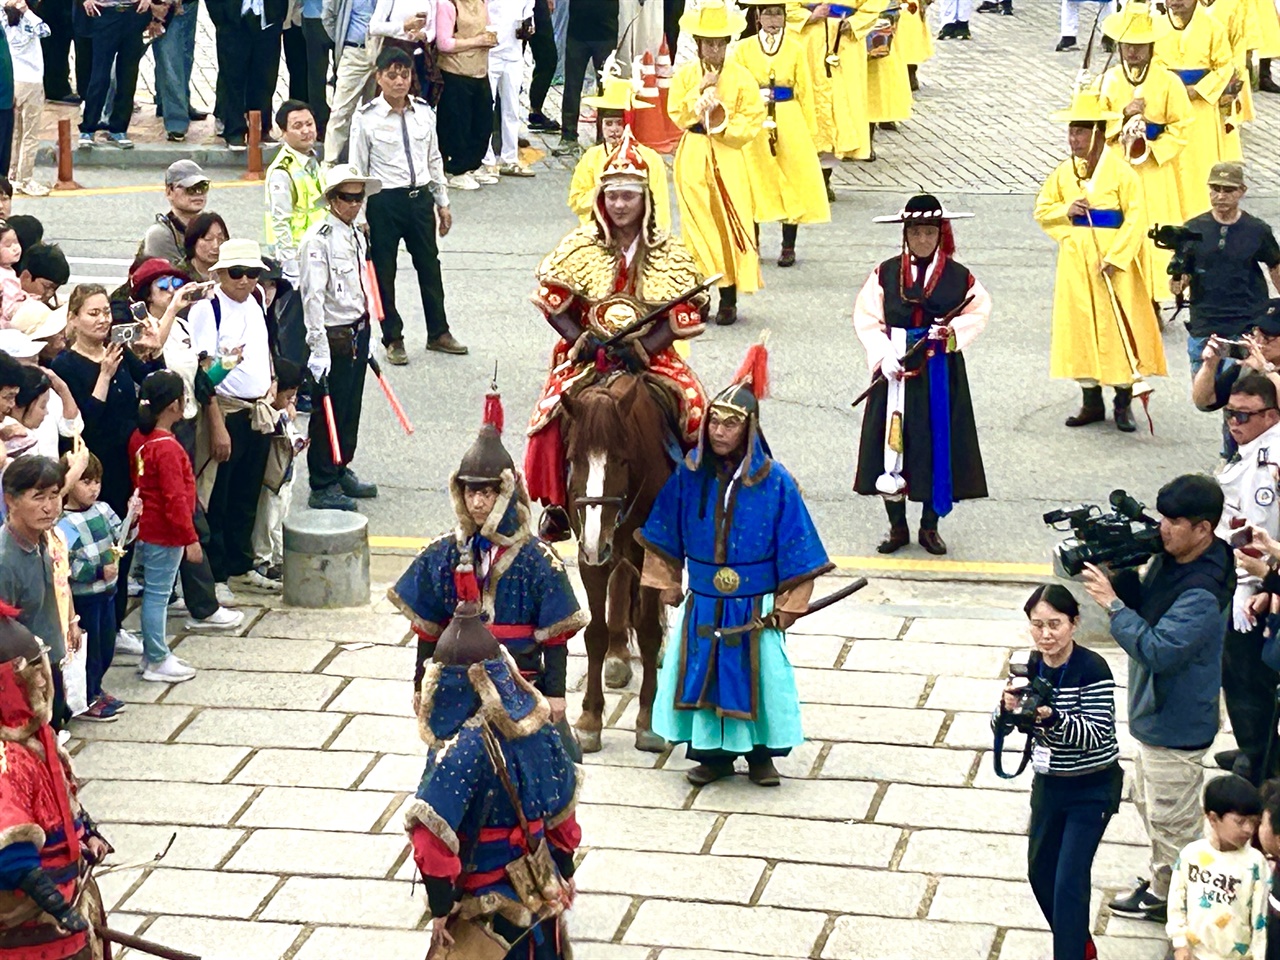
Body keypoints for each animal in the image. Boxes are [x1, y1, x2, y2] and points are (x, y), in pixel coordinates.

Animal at [565, 371, 675, 757]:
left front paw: (647, 722)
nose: (598, 543)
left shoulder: (650, 553)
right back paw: (616, 657)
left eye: (622, 460)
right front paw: (589, 722)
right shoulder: (589, 552)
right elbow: (594, 633)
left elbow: (649, 631)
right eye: (574, 457)